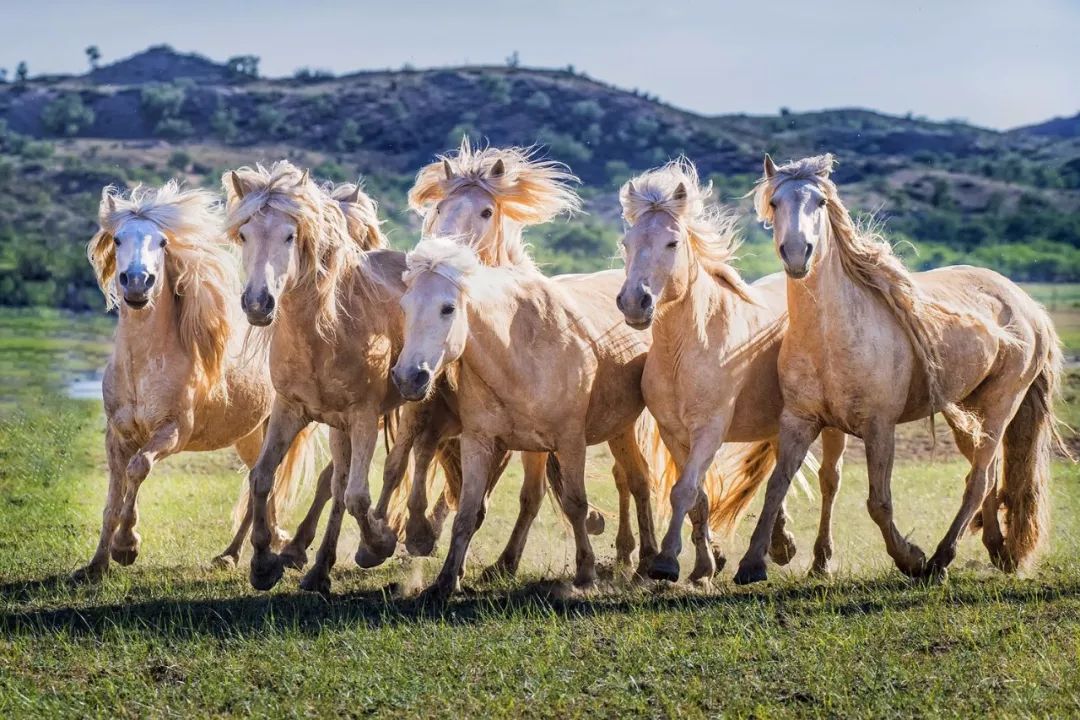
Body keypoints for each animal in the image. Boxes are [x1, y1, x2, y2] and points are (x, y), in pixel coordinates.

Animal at [71, 181, 315, 587]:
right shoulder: (116, 435)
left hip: (273, 426)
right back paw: (232, 554)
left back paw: (267, 550)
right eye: (118, 240)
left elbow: (138, 468)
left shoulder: (172, 432)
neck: (142, 368)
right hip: (250, 436)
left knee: (266, 482)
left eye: (162, 242)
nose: (137, 283)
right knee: (258, 481)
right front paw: (96, 565)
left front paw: (127, 546)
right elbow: (113, 496)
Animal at [613, 160, 846, 582]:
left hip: (830, 425)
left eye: (672, 243)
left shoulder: (710, 429)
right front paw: (704, 566)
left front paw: (667, 562)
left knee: (829, 480)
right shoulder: (674, 432)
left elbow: (684, 491)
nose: (635, 302)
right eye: (627, 243)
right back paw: (778, 545)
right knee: (779, 471)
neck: (685, 350)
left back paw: (819, 560)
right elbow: (699, 496)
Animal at [730, 153, 1067, 587]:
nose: (796, 253)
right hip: (967, 414)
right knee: (988, 474)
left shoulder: (879, 427)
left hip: (1000, 405)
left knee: (977, 481)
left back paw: (940, 559)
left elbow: (879, 502)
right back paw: (997, 550)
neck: (829, 335)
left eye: (820, 203)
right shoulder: (800, 421)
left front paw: (910, 559)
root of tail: (1027, 303)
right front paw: (753, 563)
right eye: (775, 202)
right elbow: (779, 486)